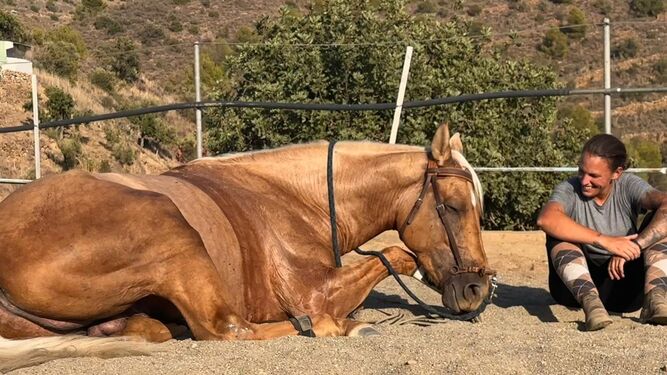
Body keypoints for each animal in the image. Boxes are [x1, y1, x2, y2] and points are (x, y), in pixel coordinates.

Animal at [1, 122, 496, 368]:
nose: (477, 291)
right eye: (454, 207)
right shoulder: (312, 290)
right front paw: (347, 320)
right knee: (227, 330)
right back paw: (325, 327)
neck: (295, 199)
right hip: (171, 228)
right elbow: (399, 254)